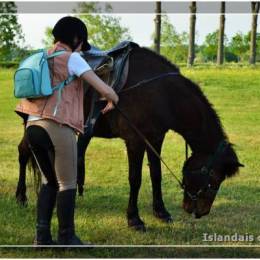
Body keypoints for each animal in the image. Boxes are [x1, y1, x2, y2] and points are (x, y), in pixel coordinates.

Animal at [15, 43, 244, 232]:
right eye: (213, 178)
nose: (200, 211)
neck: (161, 94)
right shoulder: (135, 141)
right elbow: (135, 179)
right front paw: (134, 219)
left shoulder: (155, 139)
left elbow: (156, 175)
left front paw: (161, 212)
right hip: (34, 125)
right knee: (24, 153)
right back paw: (21, 197)